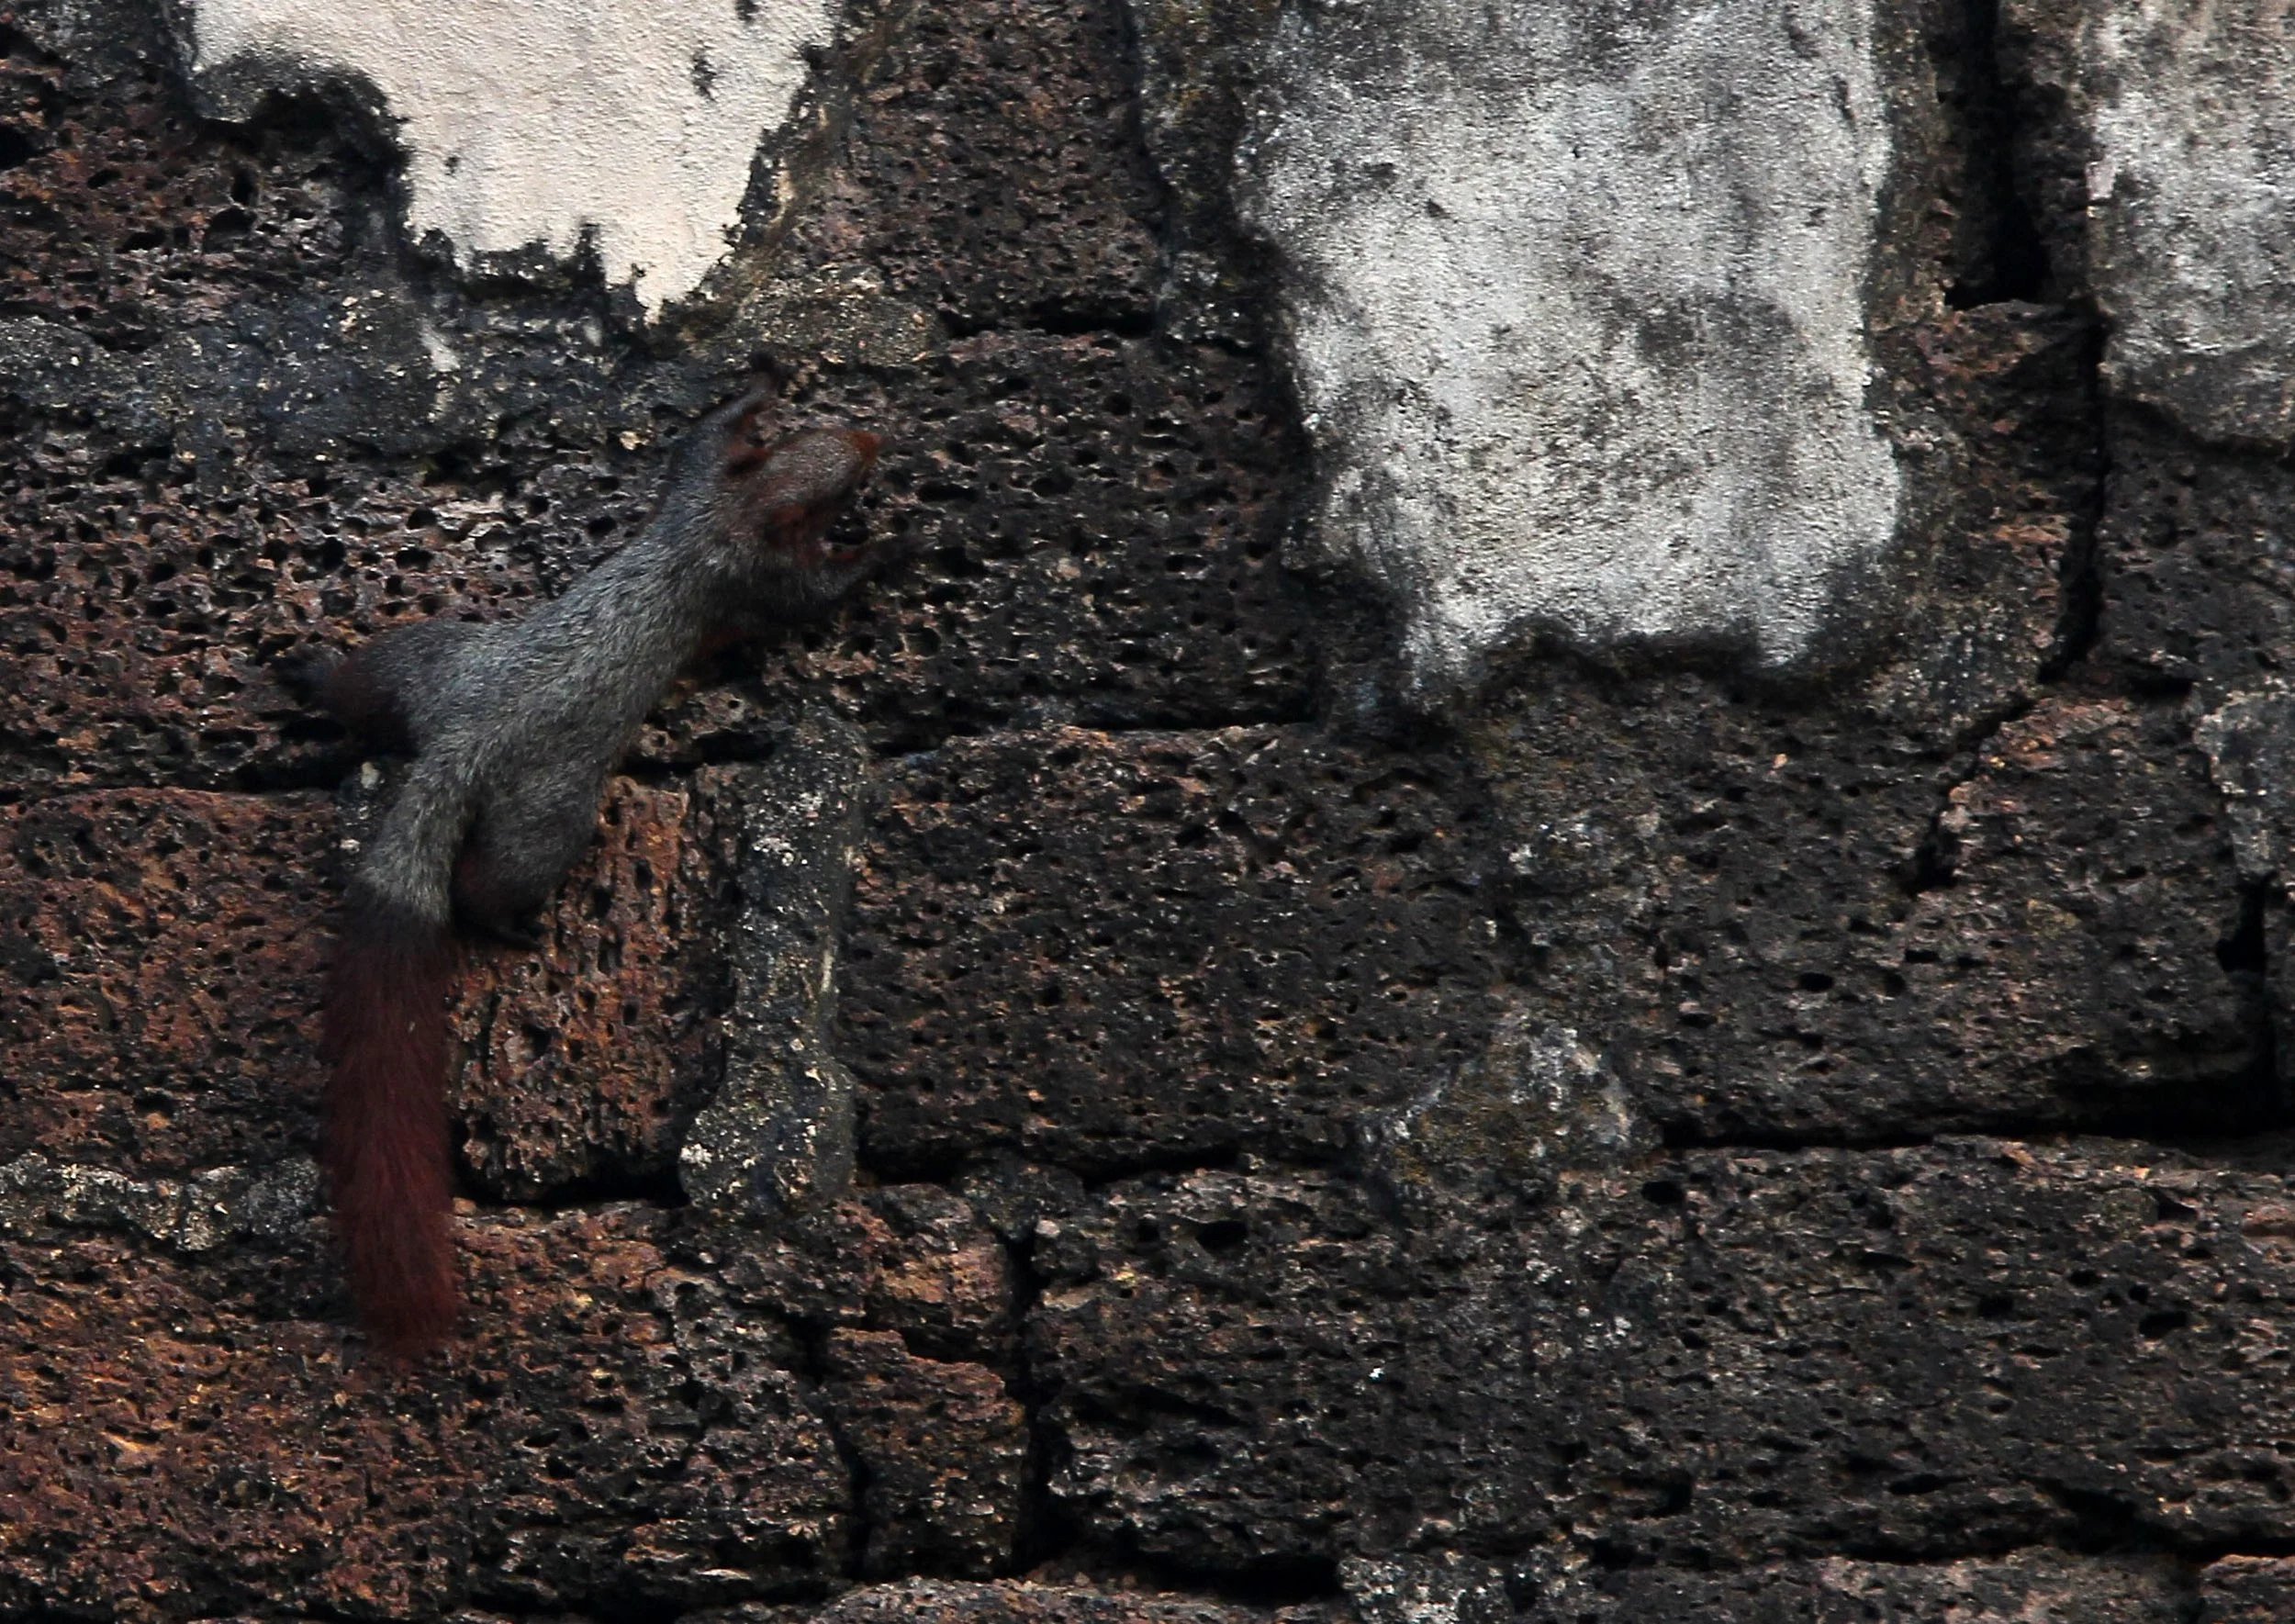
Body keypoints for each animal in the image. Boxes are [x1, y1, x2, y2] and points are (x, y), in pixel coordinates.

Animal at [304, 385, 885, 1357]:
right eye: (843, 478)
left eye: (829, 435)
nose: (873, 437)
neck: (729, 514)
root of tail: (459, 744)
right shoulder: (753, 578)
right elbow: (811, 594)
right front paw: (892, 546)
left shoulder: (696, 487)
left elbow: (701, 438)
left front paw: (756, 384)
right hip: (549, 811)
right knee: (489, 883)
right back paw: (513, 925)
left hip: (425, 658)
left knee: (358, 685)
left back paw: (295, 677)